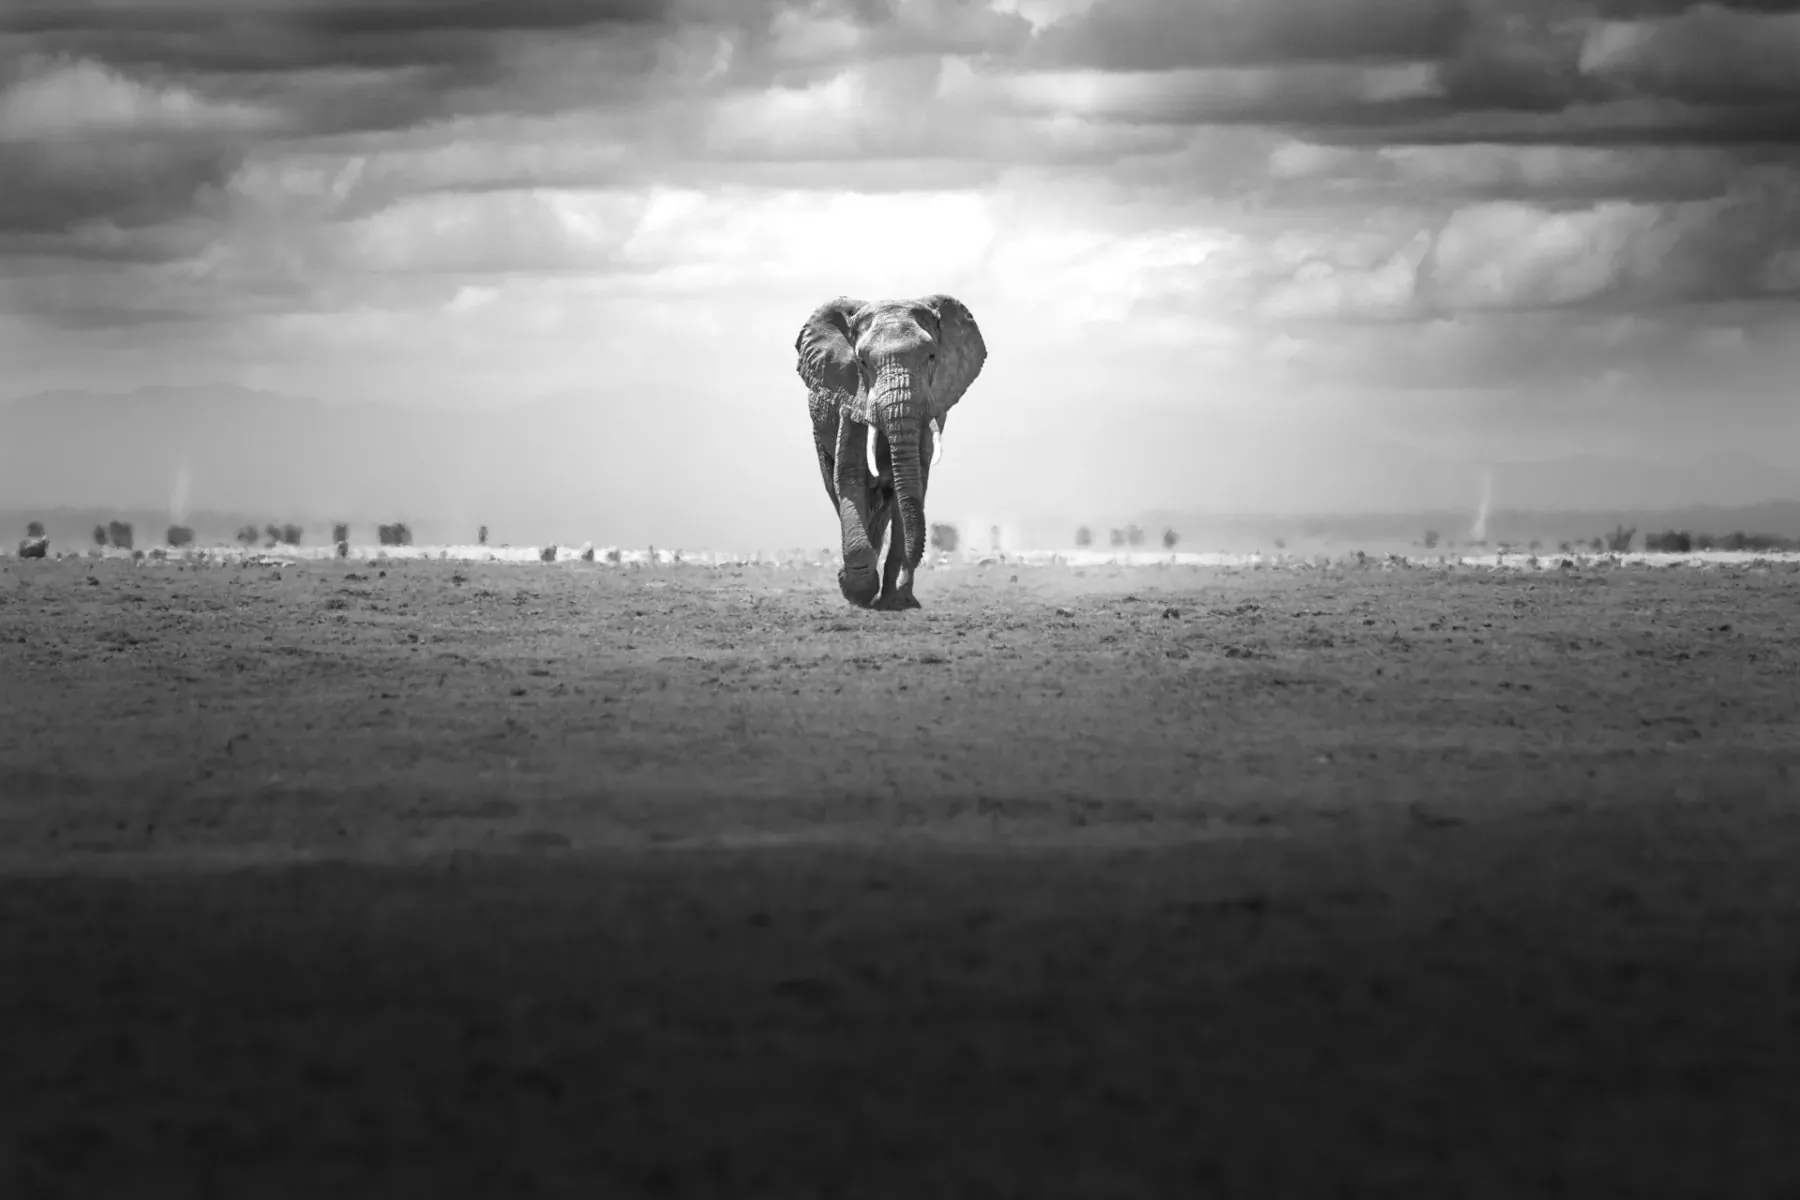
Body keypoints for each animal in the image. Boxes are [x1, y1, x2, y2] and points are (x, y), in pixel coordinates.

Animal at [795, 294, 987, 609]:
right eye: (862, 362)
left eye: (931, 356)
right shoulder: (851, 397)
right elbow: (849, 476)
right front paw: (855, 591)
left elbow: (911, 485)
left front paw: (897, 600)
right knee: (838, 490)